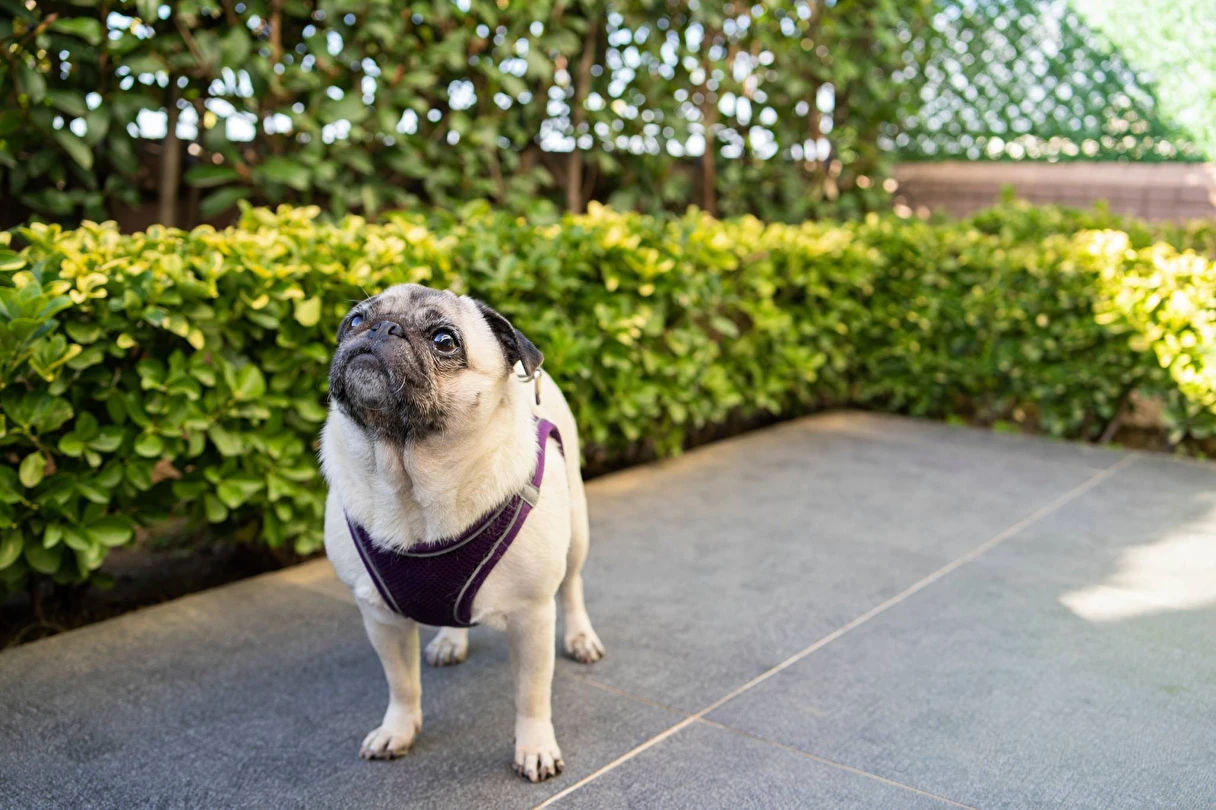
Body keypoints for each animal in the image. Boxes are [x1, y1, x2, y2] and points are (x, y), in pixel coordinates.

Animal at [320, 283, 605, 782]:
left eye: (444, 341)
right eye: (354, 320)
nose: (381, 328)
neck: (412, 483)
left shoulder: (532, 615)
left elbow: (532, 694)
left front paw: (535, 748)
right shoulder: (380, 617)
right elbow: (401, 684)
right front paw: (398, 731)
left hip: (577, 530)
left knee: (572, 586)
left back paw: (580, 638)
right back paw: (451, 640)